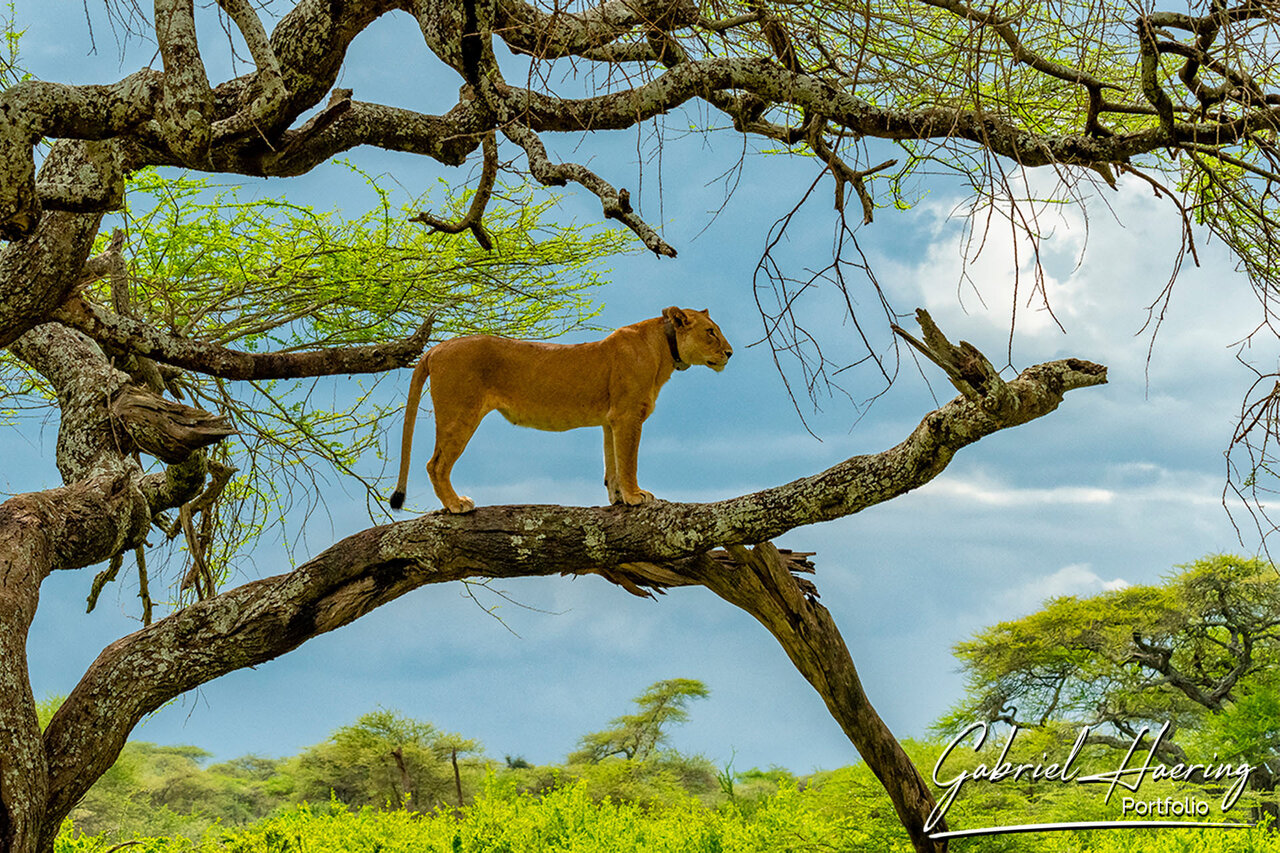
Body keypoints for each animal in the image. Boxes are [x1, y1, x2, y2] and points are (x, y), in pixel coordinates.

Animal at [389, 306, 733, 513]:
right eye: (710, 331)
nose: (730, 353)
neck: (663, 348)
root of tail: (435, 348)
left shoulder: (611, 419)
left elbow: (613, 464)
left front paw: (619, 499)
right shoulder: (628, 415)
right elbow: (628, 461)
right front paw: (636, 496)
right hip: (460, 414)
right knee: (435, 464)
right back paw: (456, 504)